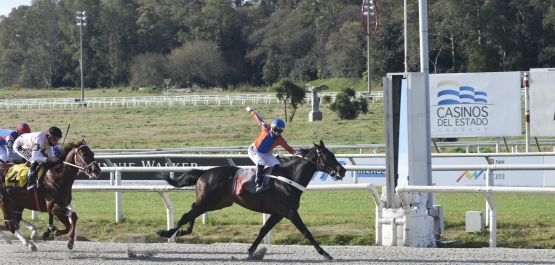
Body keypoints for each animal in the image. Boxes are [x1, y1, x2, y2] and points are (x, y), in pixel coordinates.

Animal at [156, 140, 346, 260]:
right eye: (327, 155)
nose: (342, 170)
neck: (289, 178)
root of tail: (205, 172)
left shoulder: (278, 213)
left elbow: (263, 230)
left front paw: (251, 252)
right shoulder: (290, 212)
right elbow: (307, 232)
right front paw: (325, 253)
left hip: (218, 202)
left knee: (193, 209)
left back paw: (183, 231)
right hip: (209, 201)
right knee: (187, 215)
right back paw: (167, 232)